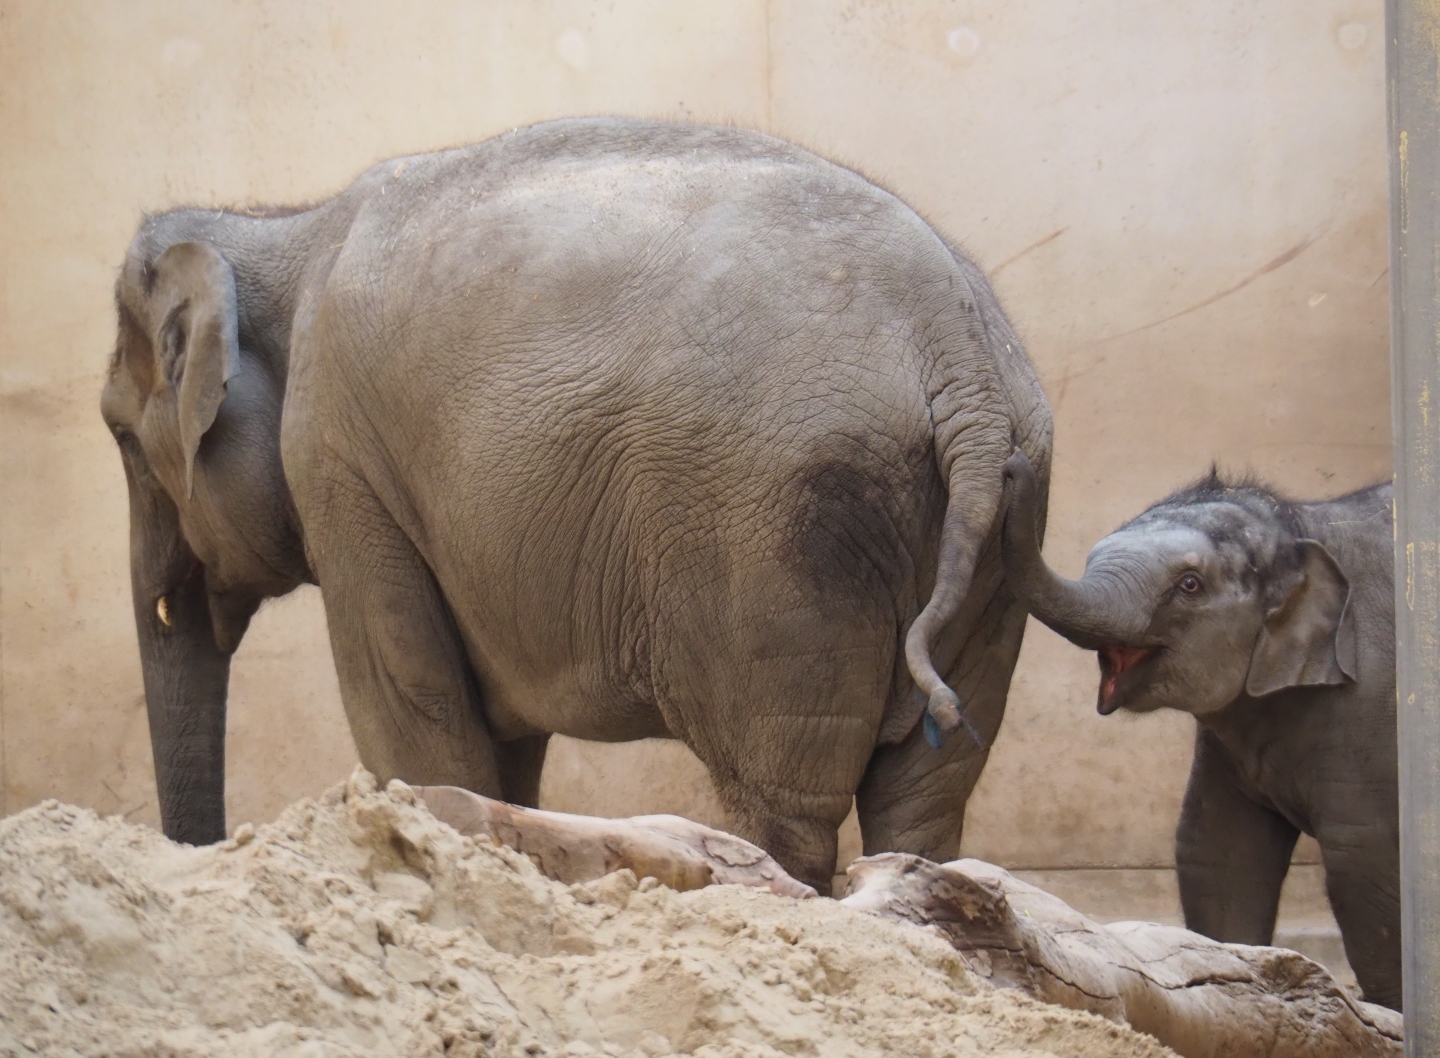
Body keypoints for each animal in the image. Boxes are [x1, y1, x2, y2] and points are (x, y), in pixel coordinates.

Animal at [99, 118, 1053, 894]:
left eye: (119, 437)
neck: (283, 226)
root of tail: (960, 353)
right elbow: (498, 744)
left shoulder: (340, 461)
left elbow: (411, 714)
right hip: (997, 532)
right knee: (925, 795)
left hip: (778, 532)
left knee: (786, 801)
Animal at [1000, 449, 1398, 1009]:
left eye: (1190, 585)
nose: (1011, 464)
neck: (1303, 526)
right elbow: (1217, 849)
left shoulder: (1368, 710)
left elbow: (1363, 866)